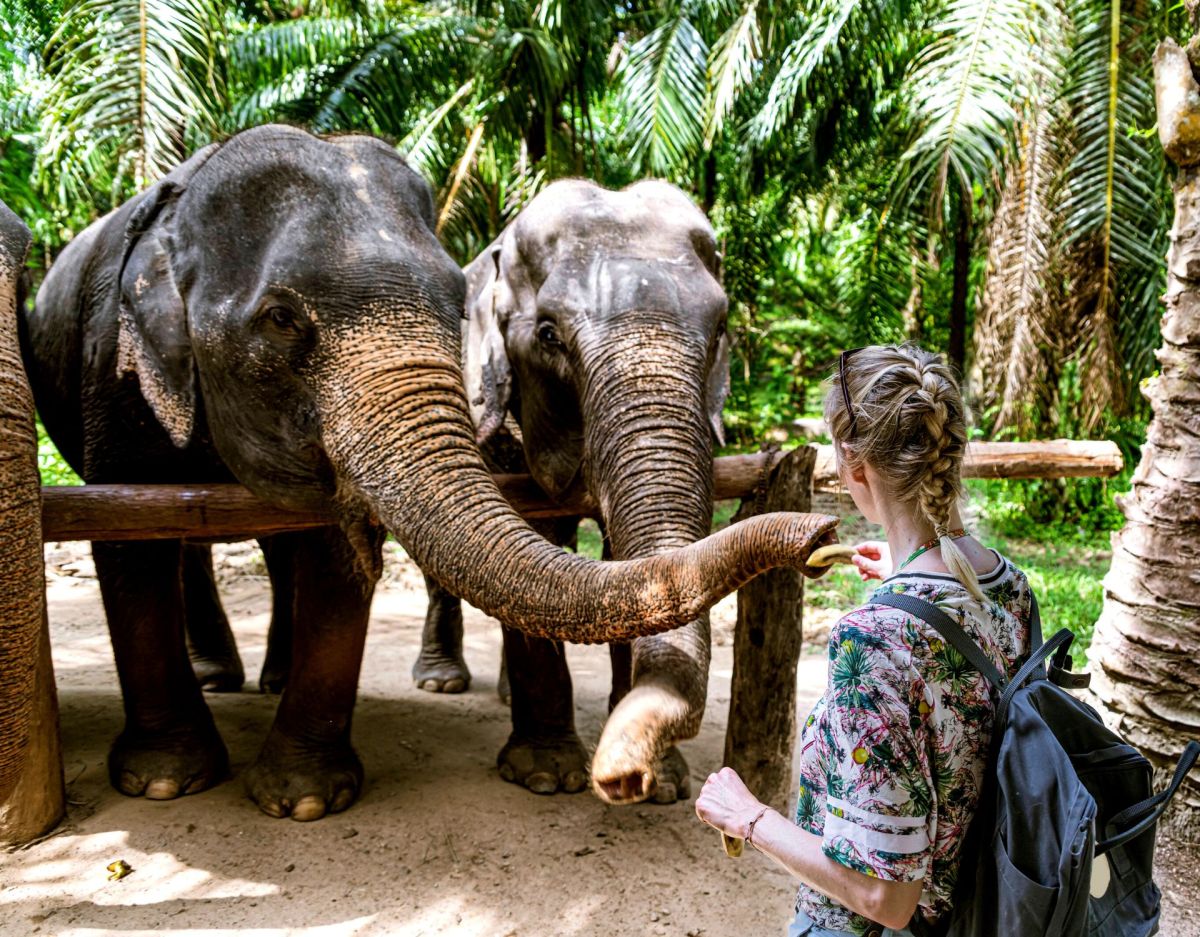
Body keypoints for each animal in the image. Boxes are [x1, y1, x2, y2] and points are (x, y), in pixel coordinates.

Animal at [21, 124, 844, 820]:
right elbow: (132, 543)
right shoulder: (115, 372)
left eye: (722, 328)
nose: (824, 535)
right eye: (550, 335)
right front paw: (185, 787)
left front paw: (662, 785)